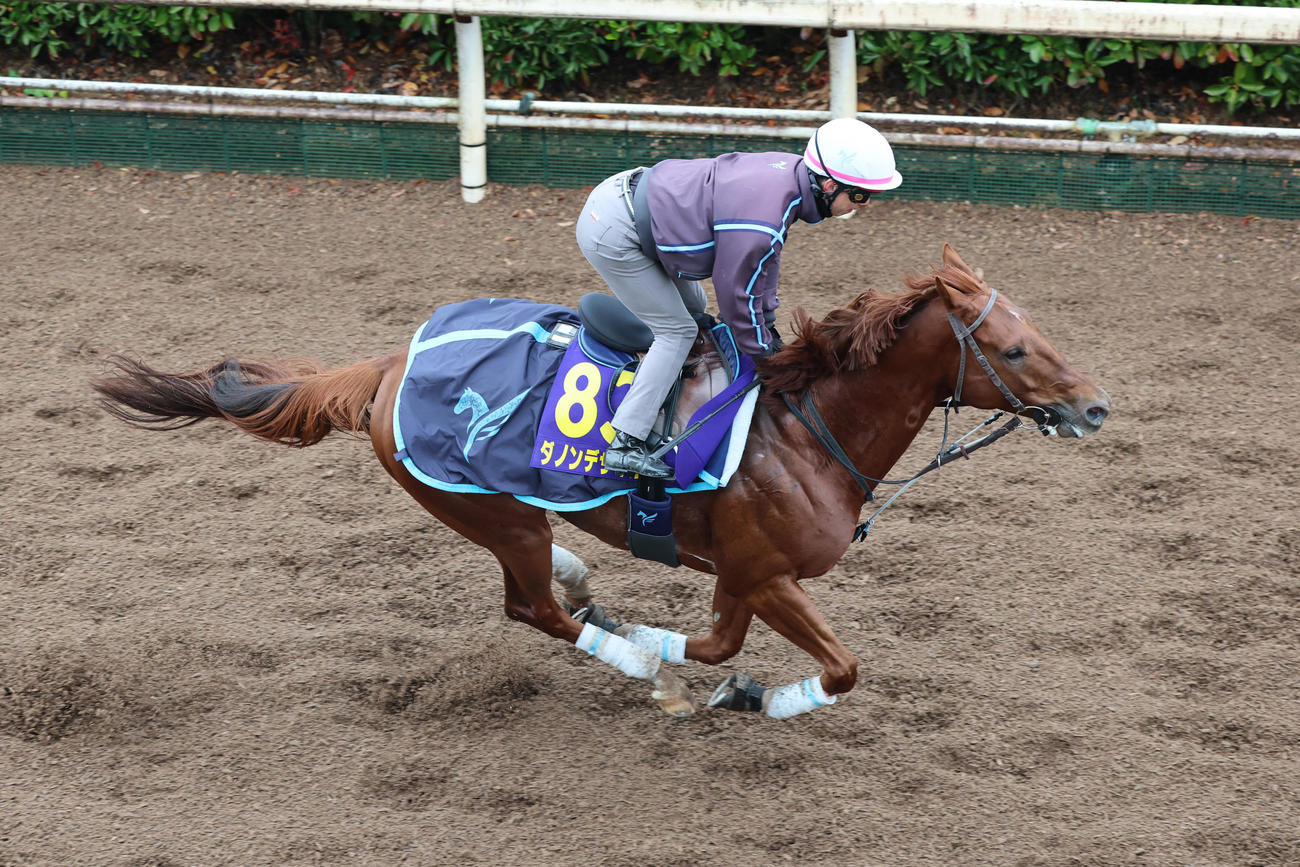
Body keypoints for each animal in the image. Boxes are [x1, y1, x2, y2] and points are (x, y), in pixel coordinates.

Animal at [92, 244, 1111, 720]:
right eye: (1015, 349)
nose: (1095, 406)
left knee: (549, 594)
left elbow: (718, 642)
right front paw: (709, 682)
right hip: (493, 512)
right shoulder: (766, 572)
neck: (805, 429)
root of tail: (386, 365)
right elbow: (838, 665)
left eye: (1042, 331)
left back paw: (594, 593)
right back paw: (617, 643)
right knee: (531, 608)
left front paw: (714, 676)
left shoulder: (741, 574)